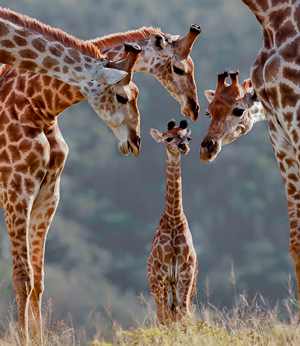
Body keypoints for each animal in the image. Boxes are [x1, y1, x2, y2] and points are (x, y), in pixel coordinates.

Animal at [0, 7, 143, 344]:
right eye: (122, 97)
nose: (136, 142)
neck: (37, 107)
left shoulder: (47, 195)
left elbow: (38, 280)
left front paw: (38, 339)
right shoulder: (15, 189)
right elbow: (22, 276)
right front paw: (23, 338)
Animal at [146, 120, 198, 326]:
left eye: (188, 137)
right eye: (168, 138)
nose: (183, 147)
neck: (174, 219)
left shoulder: (186, 271)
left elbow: (185, 314)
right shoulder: (161, 273)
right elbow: (165, 316)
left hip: (187, 286)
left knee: (179, 312)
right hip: (158, 284)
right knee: (164, 314)